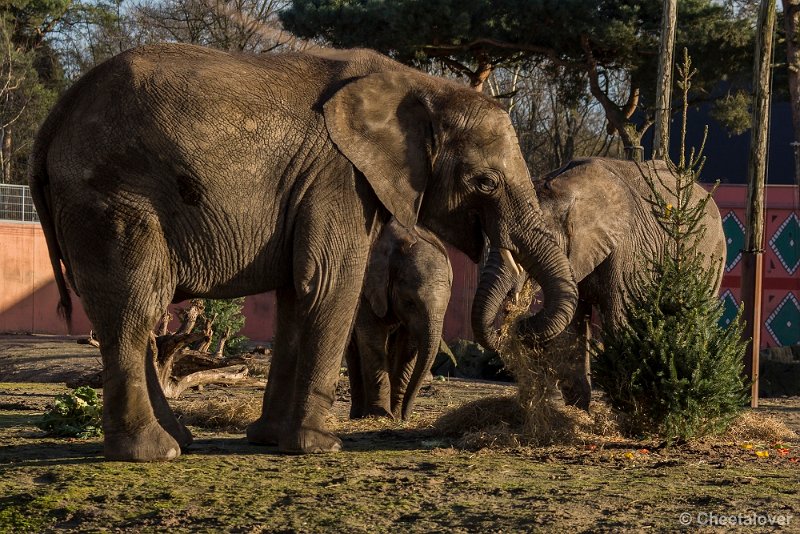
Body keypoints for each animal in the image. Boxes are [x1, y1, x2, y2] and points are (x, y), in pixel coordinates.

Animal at [346, 219, 454, 422]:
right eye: (409, 302)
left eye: (446, 307)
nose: (406, 416)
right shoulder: (366, 289)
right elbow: (372, 339)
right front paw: (380, 415)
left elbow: (407, 346)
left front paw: (394, 416)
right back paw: (357, 416)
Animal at [468, 158, 724, 410]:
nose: (515, 323)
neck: (566, 188)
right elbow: (571, 323)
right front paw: (578, 411)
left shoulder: (625, 249)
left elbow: (619, 318)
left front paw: (626, 408)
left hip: (710, 255)